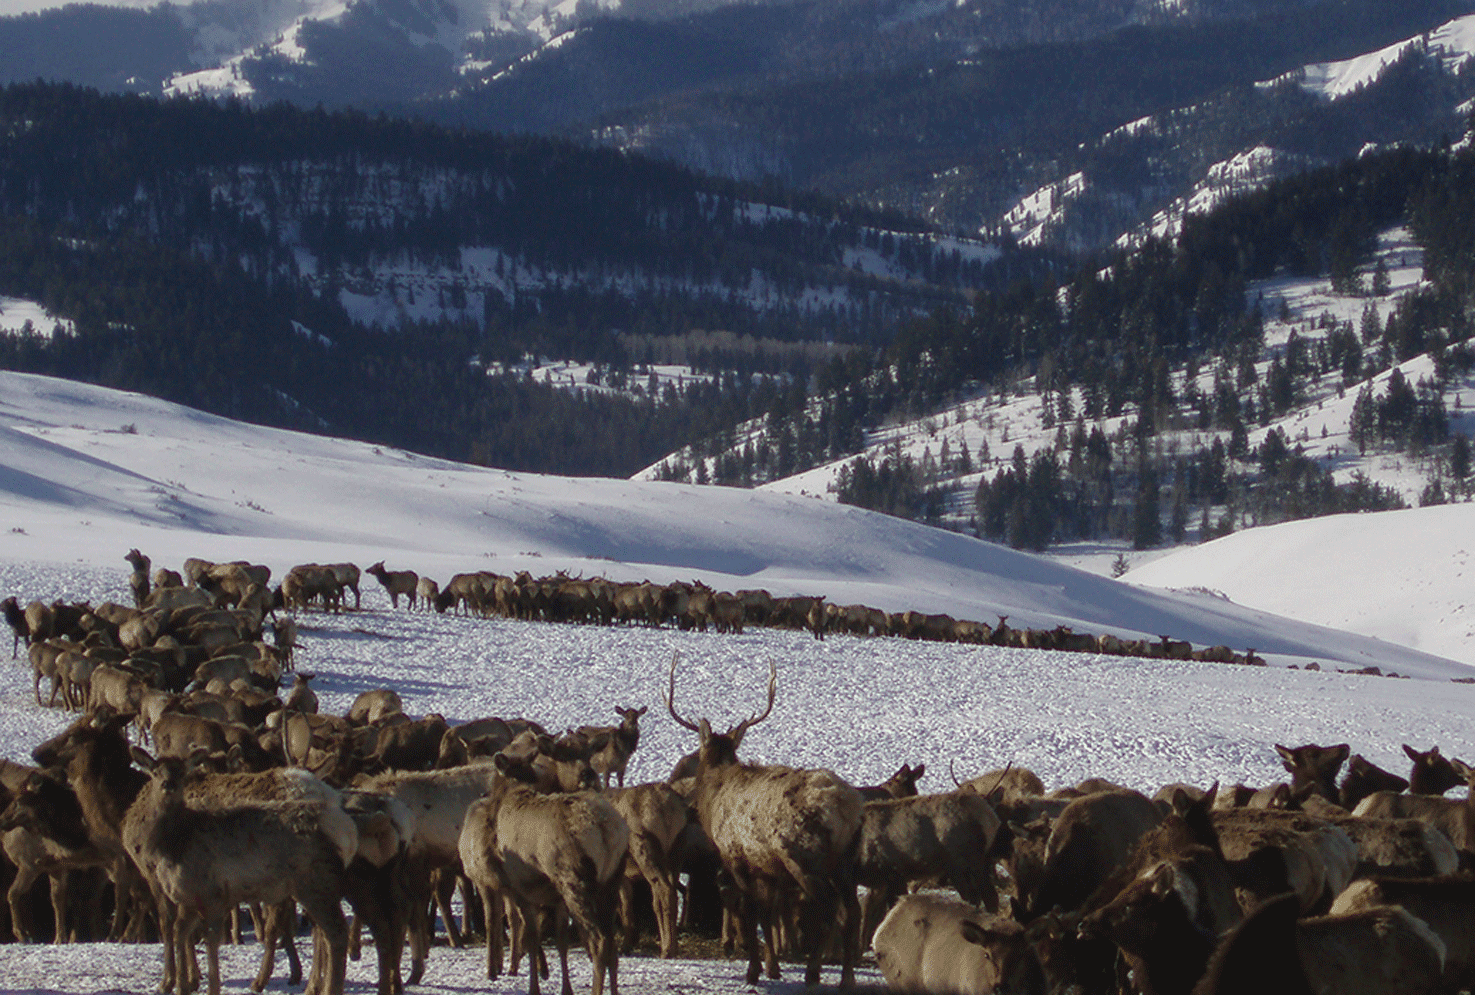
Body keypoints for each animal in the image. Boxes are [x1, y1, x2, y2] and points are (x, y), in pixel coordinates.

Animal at [666, 653, 863, 989]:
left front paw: (754, 970)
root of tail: (846, 807)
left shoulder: (736, 856)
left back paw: (814, 971)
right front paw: (773, 967)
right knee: (852, 910)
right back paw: (846, 977)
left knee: (827, 907)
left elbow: (750, 911)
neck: (713, 797)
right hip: (847, 858)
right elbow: (768, 914)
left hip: (804, 854)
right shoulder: (768, 868)